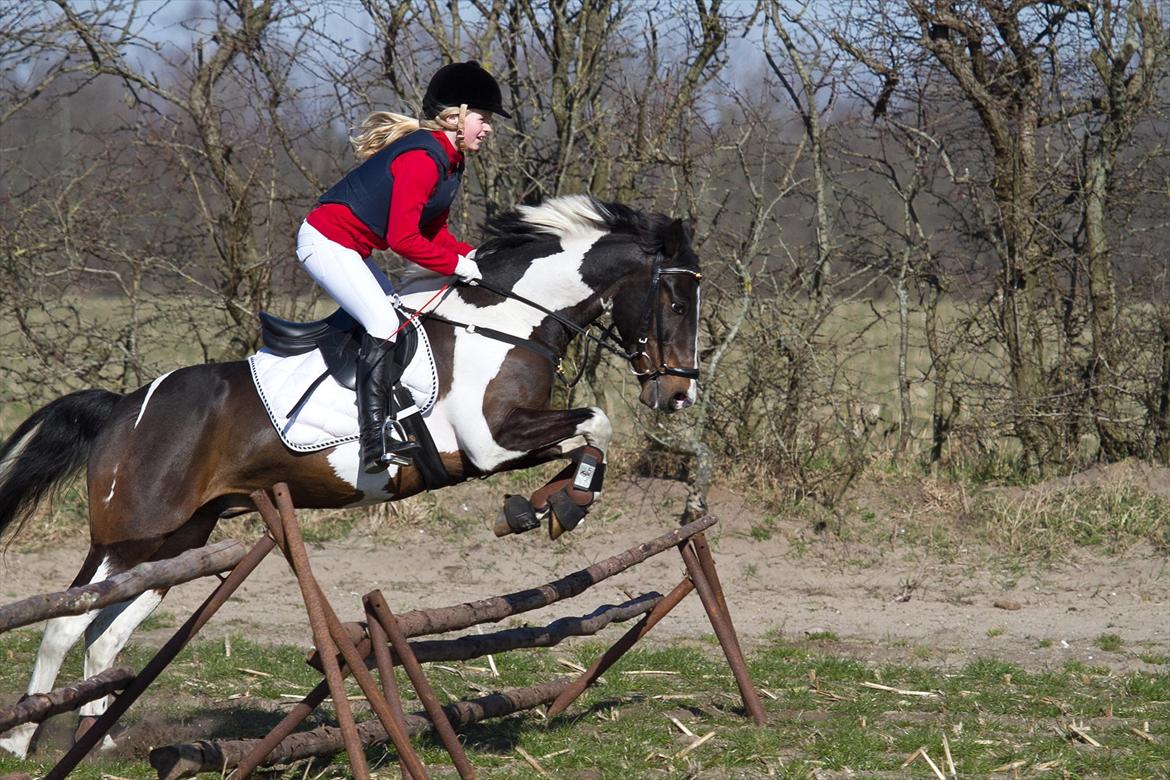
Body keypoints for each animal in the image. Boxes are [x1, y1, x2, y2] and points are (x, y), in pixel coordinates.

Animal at [0, 195, 702, 757]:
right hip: (131, 536)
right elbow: (597, 422)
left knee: (105, 635)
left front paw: (549, 504)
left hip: (181, 541)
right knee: (66, 624)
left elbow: (592, 434)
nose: (677, 396)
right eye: (673, 300)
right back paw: (21, 738)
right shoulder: (489, 442)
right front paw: (560, 504)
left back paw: (98, 740)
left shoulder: (508, 442)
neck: (505, 321)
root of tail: (123, 407)